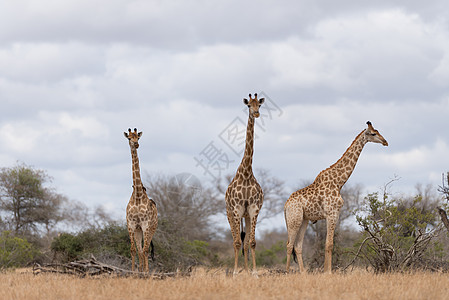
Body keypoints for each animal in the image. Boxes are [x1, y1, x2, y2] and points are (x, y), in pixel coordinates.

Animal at [286, 120, 386, 274]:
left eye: (378, 131)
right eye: (373, 133)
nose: (385, 142)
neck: (338, 182)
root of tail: (285, 206)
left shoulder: (334, 214)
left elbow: (328, 243)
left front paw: (326, 271)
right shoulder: (331, 213)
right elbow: (329, 244)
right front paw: (328, 272)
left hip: (304, 220)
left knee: (297, 246)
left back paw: (303, 273)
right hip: (294, 219)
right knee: (289, 245)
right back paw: (286, 272)